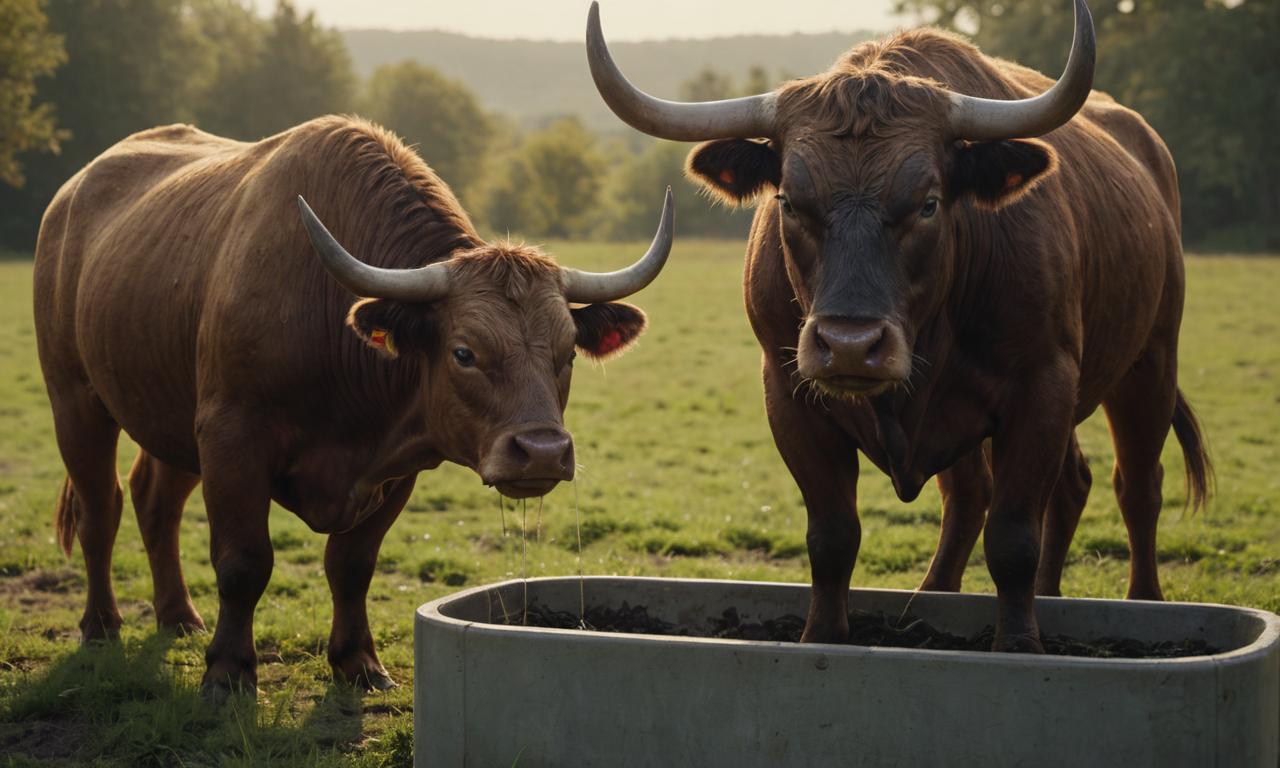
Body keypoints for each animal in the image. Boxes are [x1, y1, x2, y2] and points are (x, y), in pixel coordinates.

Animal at [32, 113, 670, 696]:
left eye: (566, 353)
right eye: (464, 352)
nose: (541, 452)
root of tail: (69, 195)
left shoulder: (395, 466)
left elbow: (352, 565)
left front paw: (357, 662)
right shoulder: (231, 437)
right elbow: (242, 563)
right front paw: (229, 672)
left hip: (168, 418)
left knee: (154, 503)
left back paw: (179, 618)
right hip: (76, 403)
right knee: (101, 510)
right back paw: (101, 626)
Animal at [588, 0, 1208, 650]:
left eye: (929, 202)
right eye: (789, 201)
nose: (849, 347)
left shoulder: (1044, 383)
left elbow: (1014, 538)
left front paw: (1019, 644)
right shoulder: (790, 395)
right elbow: (833, 536)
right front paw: (823, 637)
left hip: (1151, 362)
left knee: (1136, 486)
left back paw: (1144, 602)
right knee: (1006, 493)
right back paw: (952, 596)